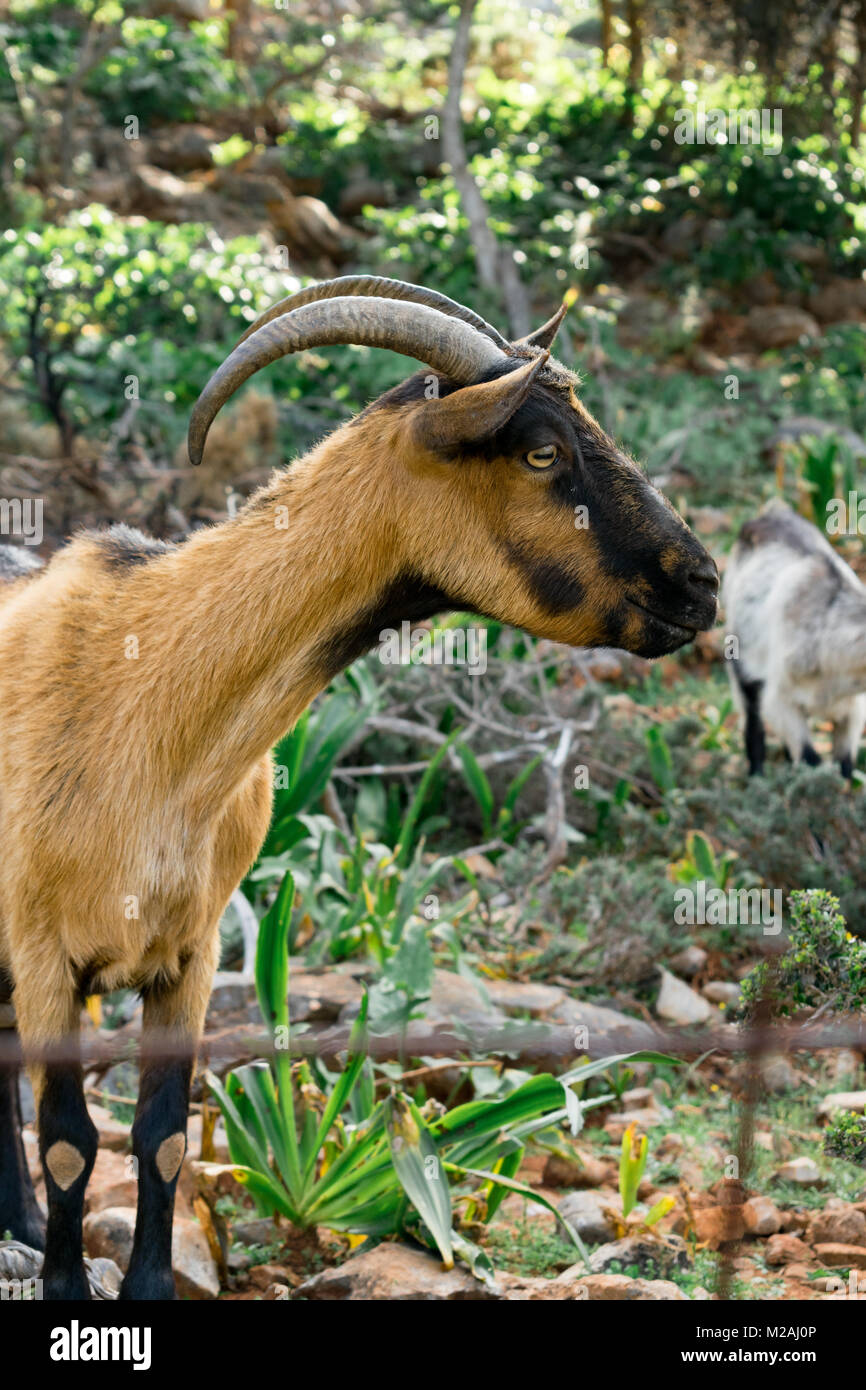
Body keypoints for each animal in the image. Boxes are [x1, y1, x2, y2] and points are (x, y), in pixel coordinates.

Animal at [0, 276, 717, 1295]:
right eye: (543, 450)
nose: (703, 584)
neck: (147, 700)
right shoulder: (44, 952)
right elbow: (67, 1142)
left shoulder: (190, 954)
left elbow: (165, 1138)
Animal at [722, 503, 866, 783]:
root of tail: (768, 514)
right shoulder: (780, 700)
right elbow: (812, 761)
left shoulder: (854, 709)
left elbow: (845, 767)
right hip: (741, 664)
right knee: (753, 726)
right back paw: (757, 778)